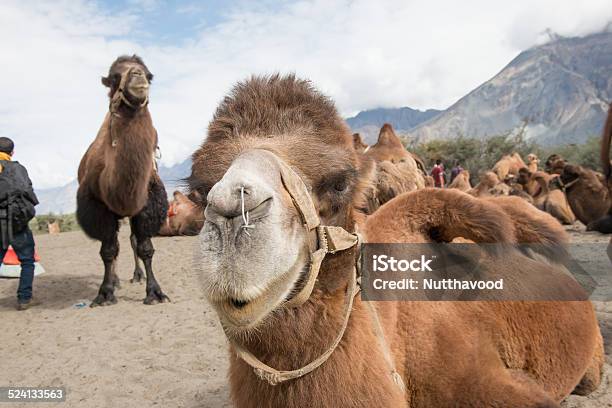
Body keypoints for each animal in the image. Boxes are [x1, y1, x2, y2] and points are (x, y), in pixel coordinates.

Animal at [78, 55, 172, 306]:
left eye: (148, 74)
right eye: (113, 77)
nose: (137, 76)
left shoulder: (147, 204)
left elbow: (145, 247)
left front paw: (155, 292)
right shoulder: (98, 207)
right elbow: (108, 250)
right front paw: (104, 293)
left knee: (130, 241)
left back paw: (137, 275)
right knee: (116, 246)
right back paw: (116, 280)